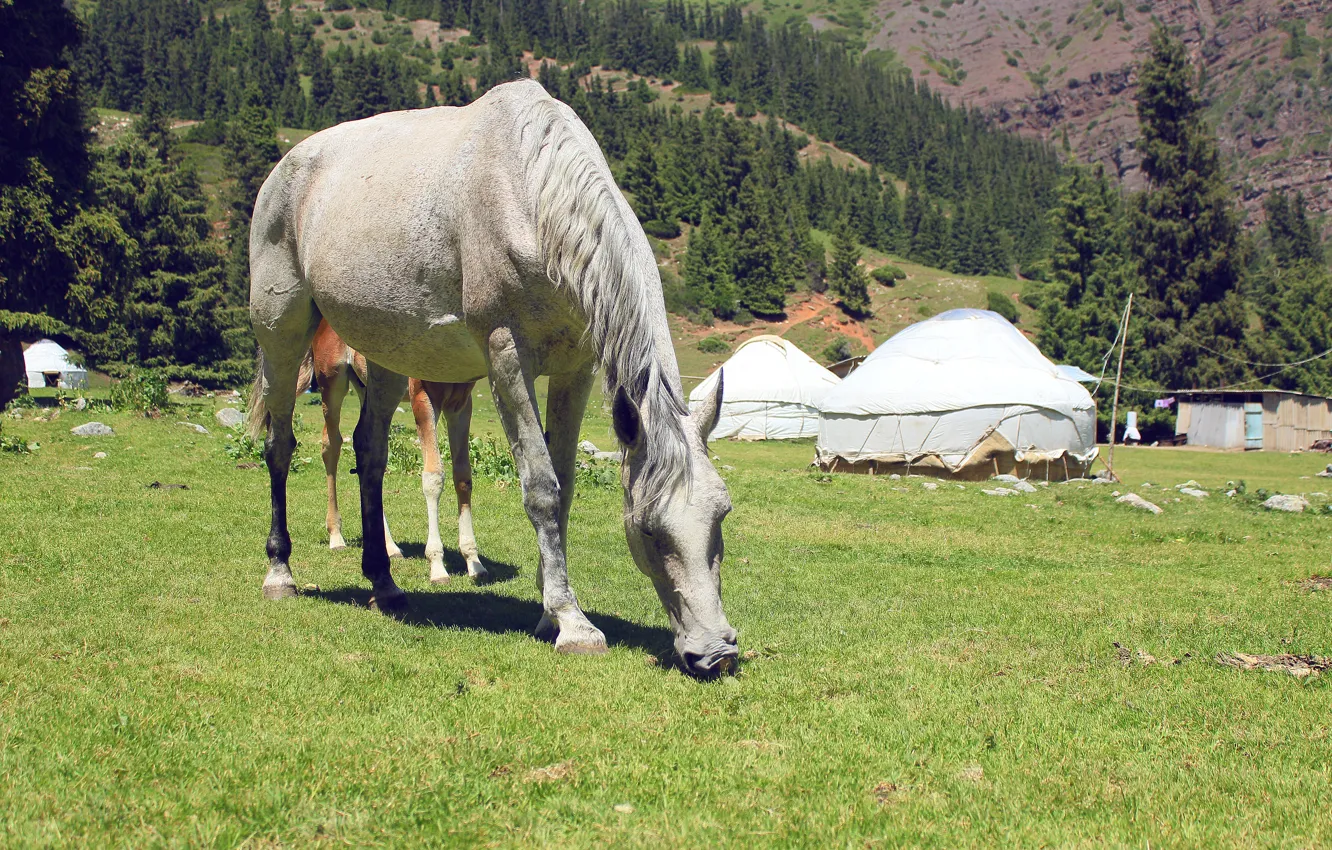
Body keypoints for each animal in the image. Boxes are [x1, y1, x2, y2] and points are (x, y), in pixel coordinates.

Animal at [301, 317, 487, 583]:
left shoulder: (461, 404)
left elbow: (463, 478)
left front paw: (474, 562)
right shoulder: (423, 398)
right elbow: (433, 477)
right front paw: (437, 566)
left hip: (369, 388)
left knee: (365, 445)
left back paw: (389, 547)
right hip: (332, 381)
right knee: (331, 445)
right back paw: (336, 537)